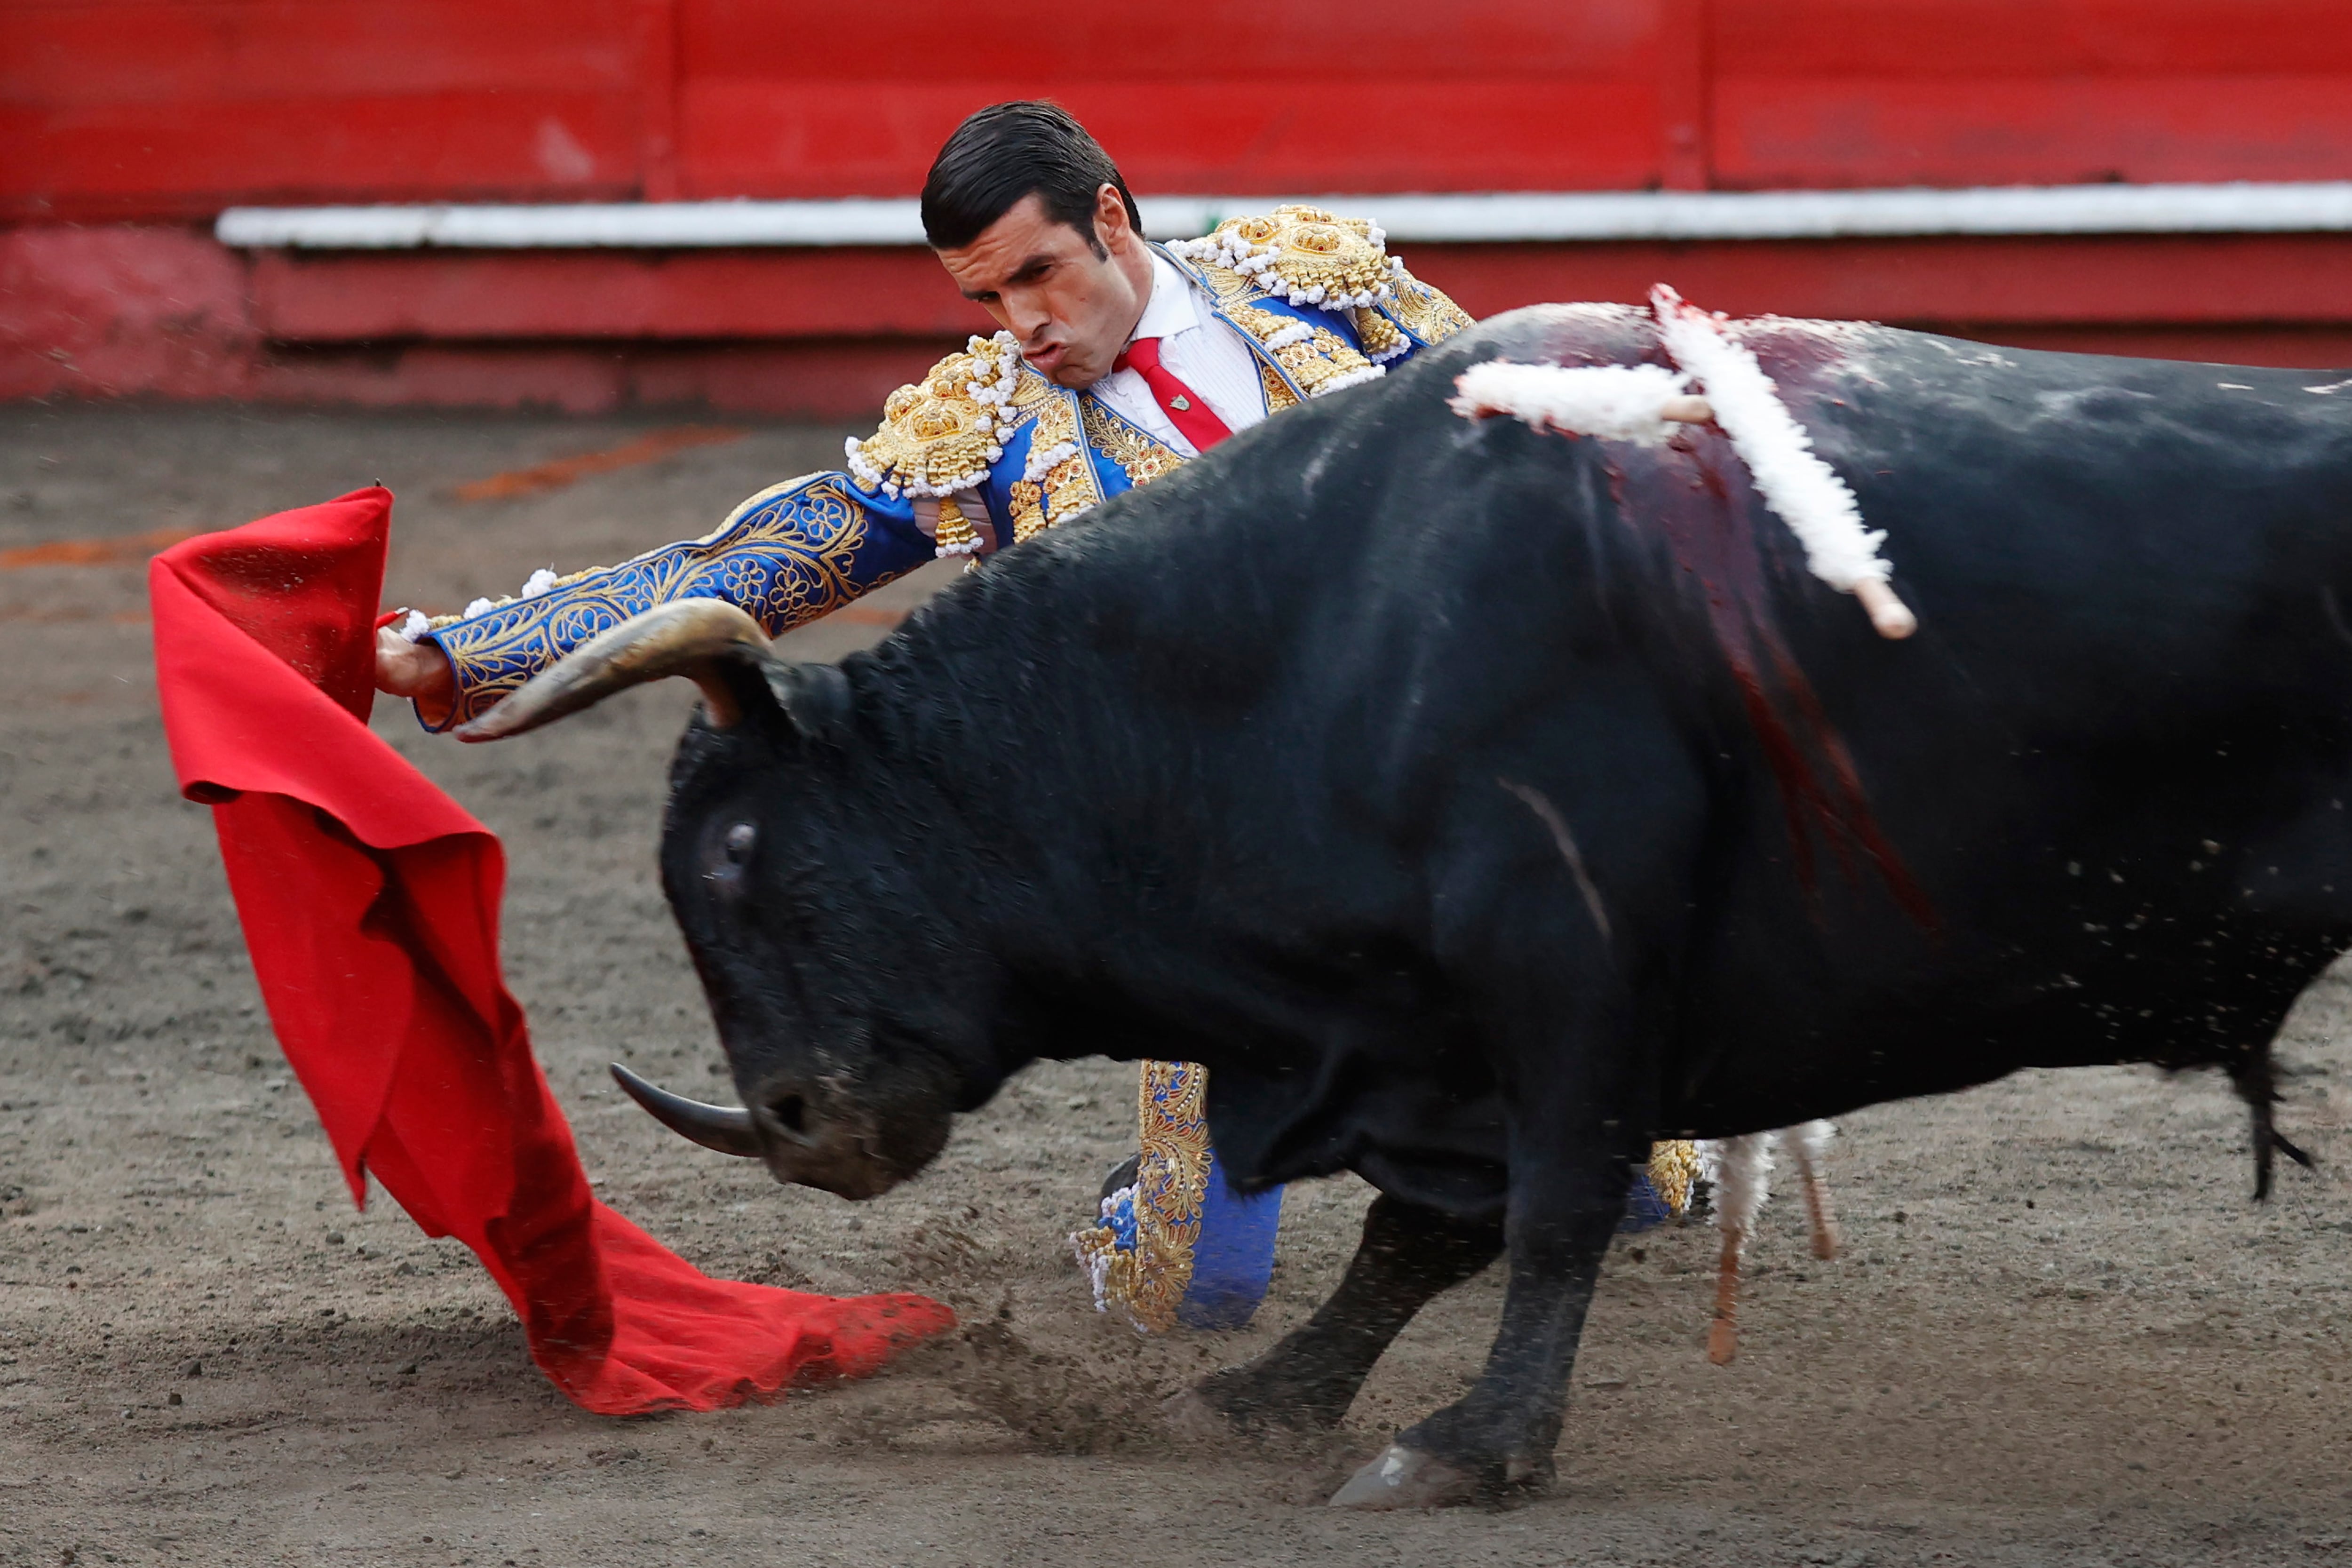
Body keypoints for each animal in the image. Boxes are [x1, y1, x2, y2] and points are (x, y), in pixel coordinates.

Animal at [468, 303, 2352, 1504]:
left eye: (735, 856)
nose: (801, 1126)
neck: (1311, 631)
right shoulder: (1429, 1030)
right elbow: (1421, 1231)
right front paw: (1264, 1398)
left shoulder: (1571, 964)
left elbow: (1551, 1207)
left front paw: (1466, 1449)